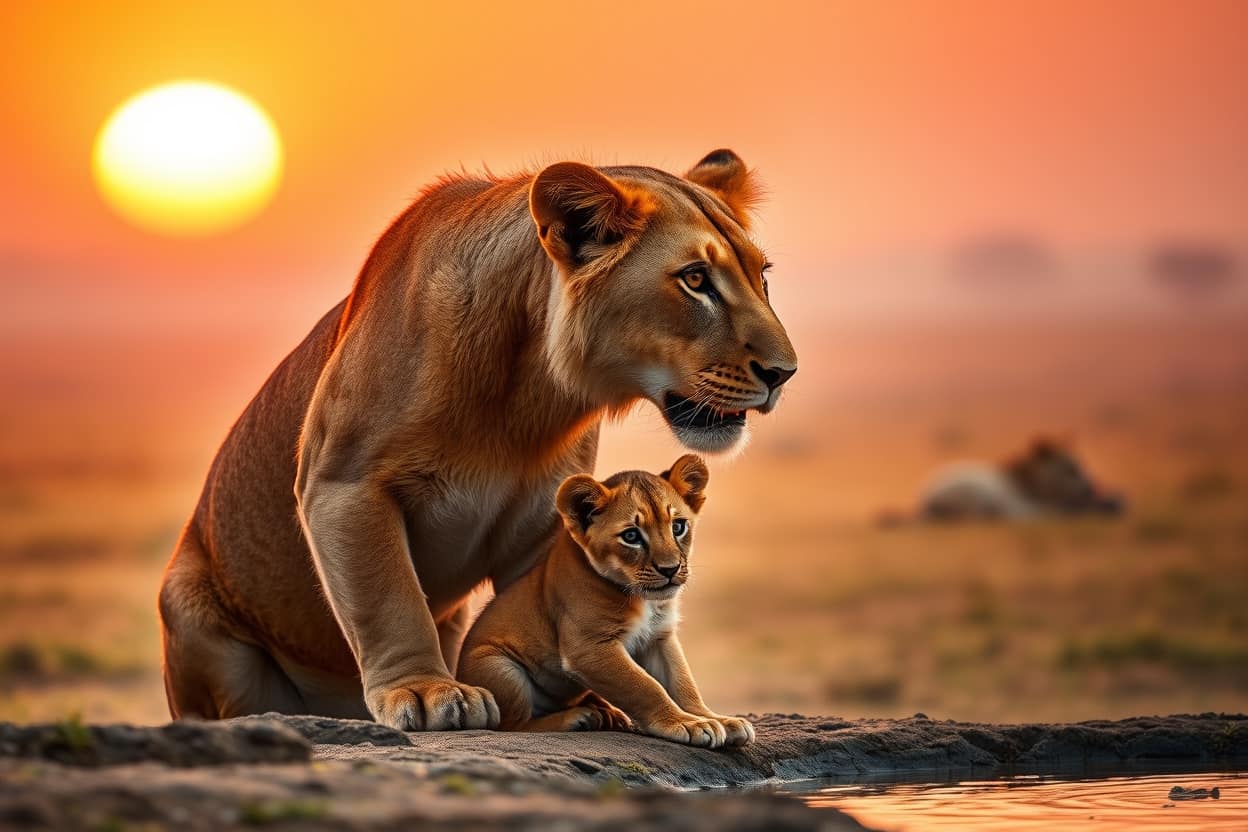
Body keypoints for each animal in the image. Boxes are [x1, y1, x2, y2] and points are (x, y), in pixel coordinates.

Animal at [457, 454, 754, 747]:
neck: (644, 600)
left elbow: (683, 683)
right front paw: (686, 723)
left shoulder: (659, 636)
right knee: (512, 725)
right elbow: (646, 686)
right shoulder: (589, 647)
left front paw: (716, 719)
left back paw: (605, 713)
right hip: (498, 667)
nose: (670, 569)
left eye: (678, 526)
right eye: (631, 536)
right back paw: (580, 718)